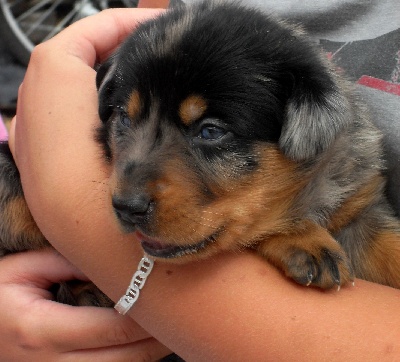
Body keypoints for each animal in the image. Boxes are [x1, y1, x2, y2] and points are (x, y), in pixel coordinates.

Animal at [0, 1, 400, 306]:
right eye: (124, 117)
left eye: (210, 131)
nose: (126, 208)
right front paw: (303, 237)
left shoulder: (361, 205)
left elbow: (388, 243)